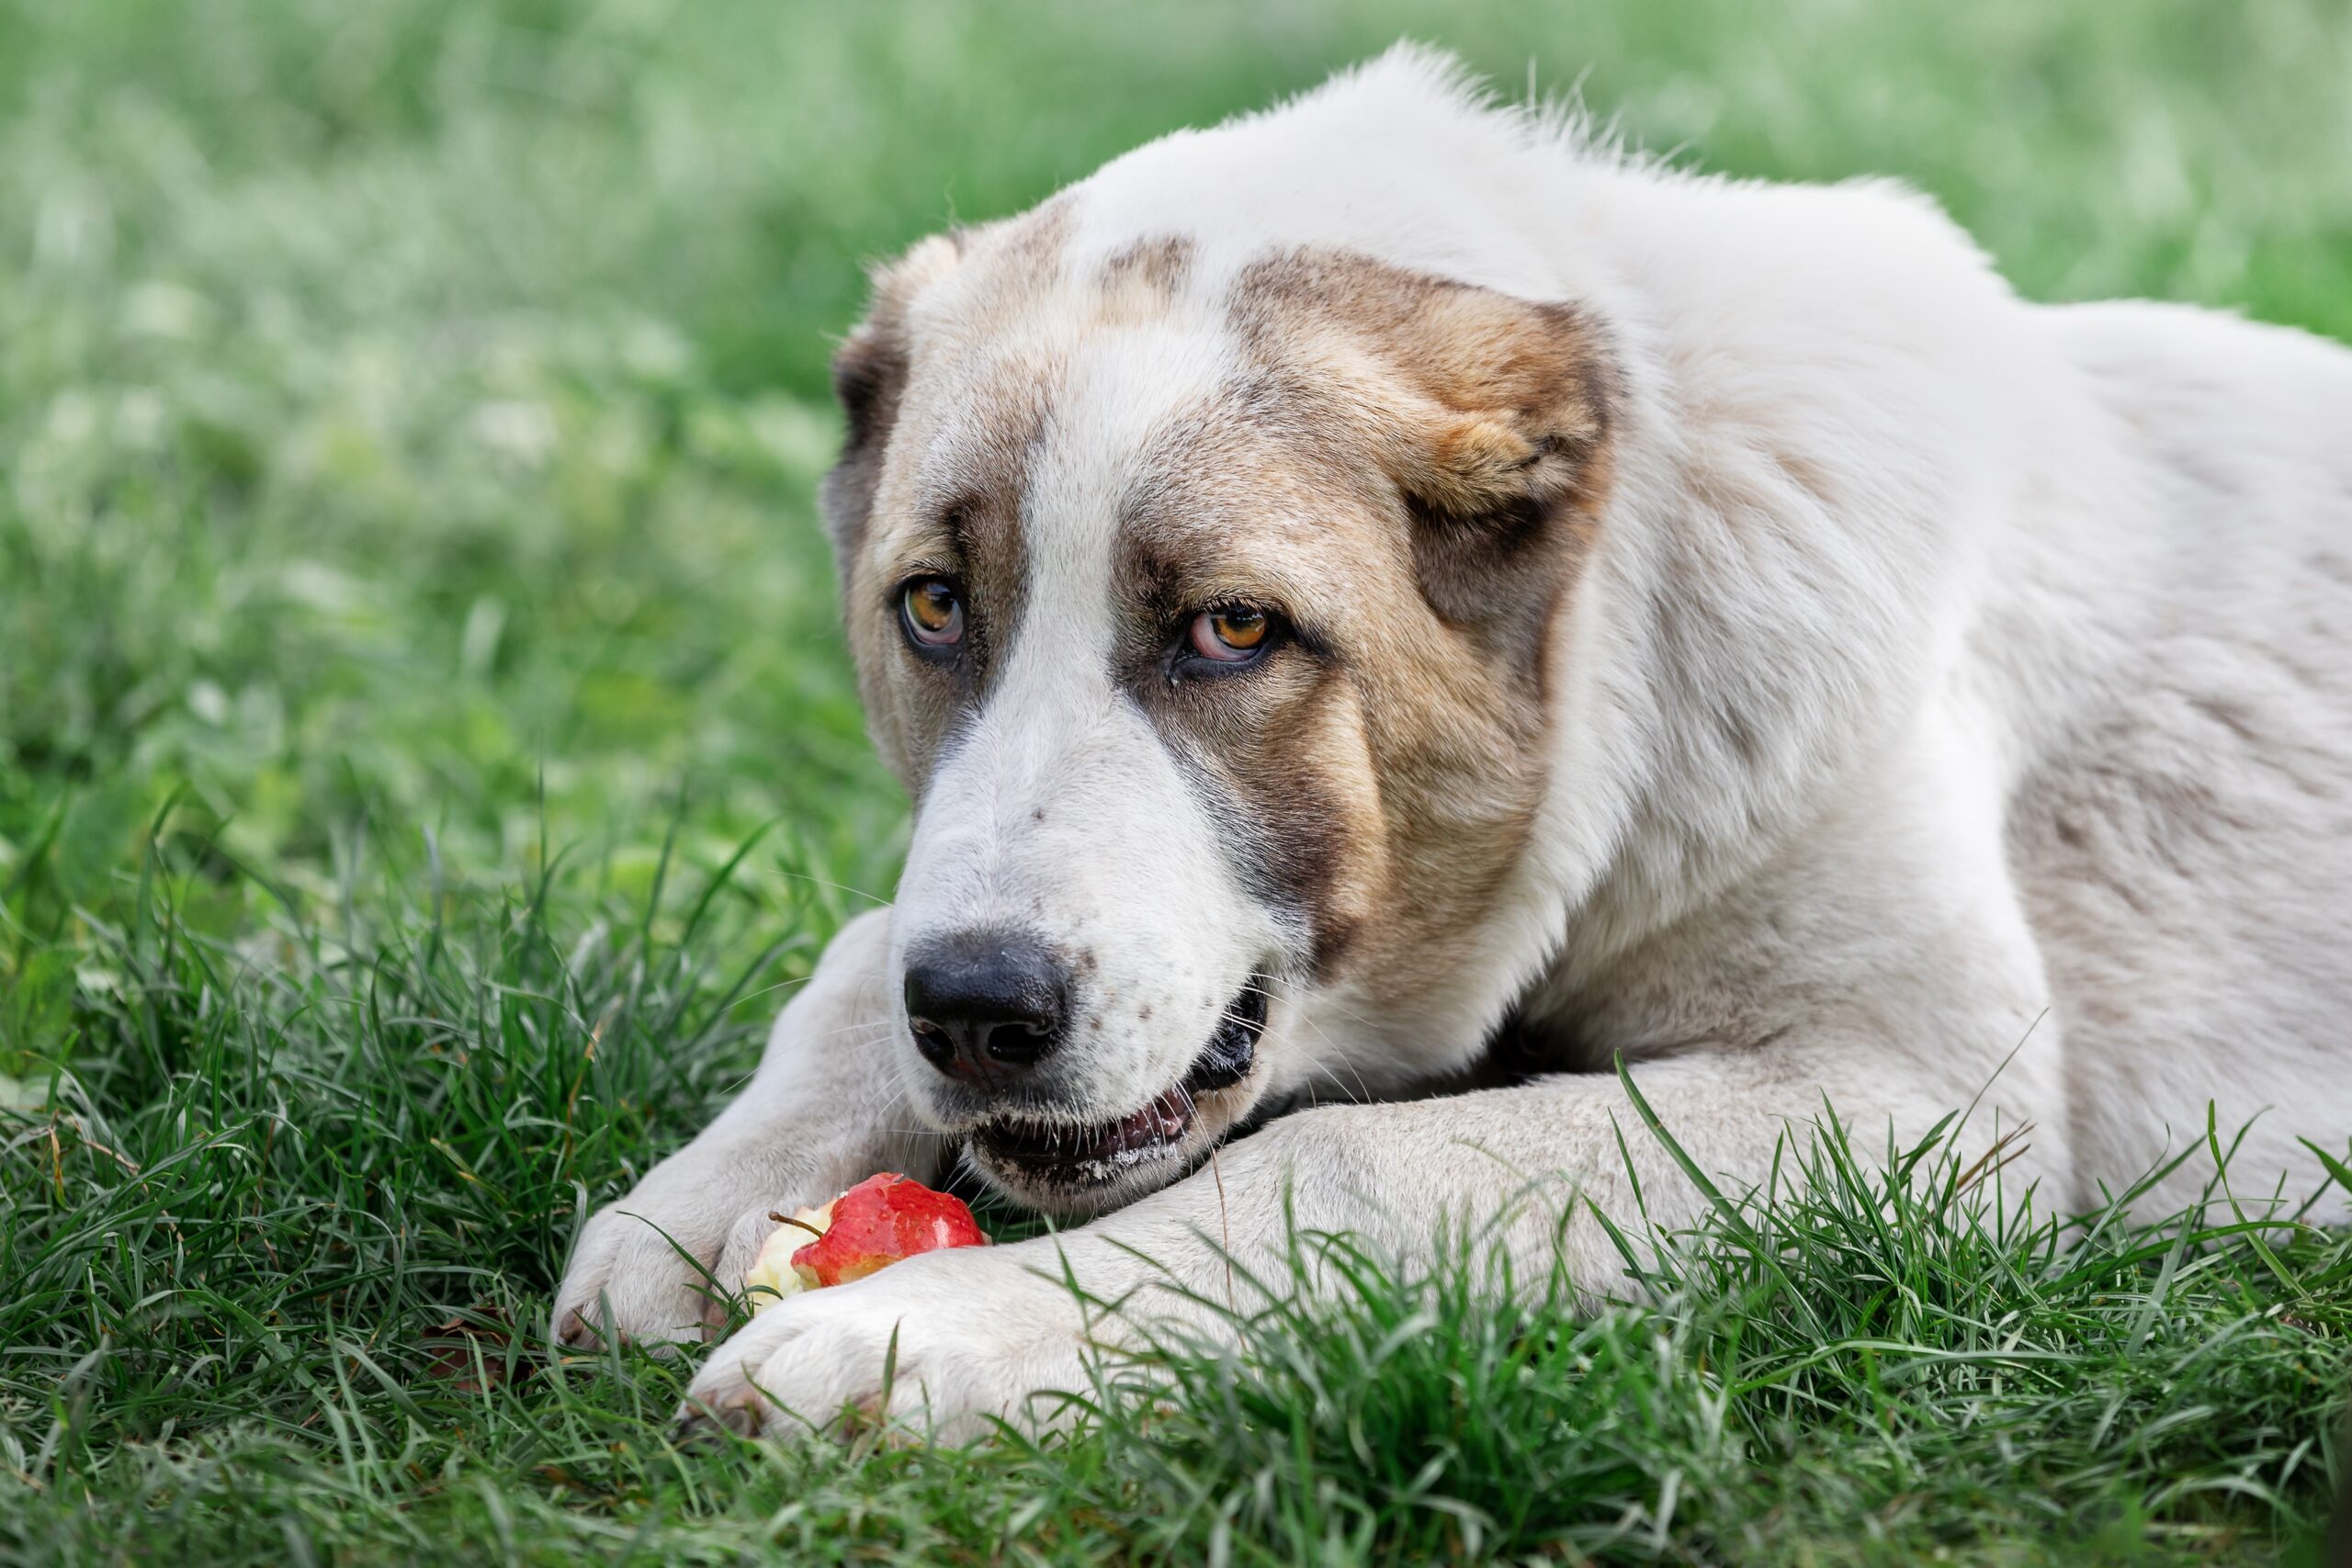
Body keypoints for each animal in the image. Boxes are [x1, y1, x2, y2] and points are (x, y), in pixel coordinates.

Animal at [550, 46, 2352, 1448]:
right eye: (932, 607)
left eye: (1233, 629)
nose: (980, 1011)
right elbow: (861, 949)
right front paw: (701, 1194)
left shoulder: (1908, 1096)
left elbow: (1347, 1157)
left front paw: (930, 1330)